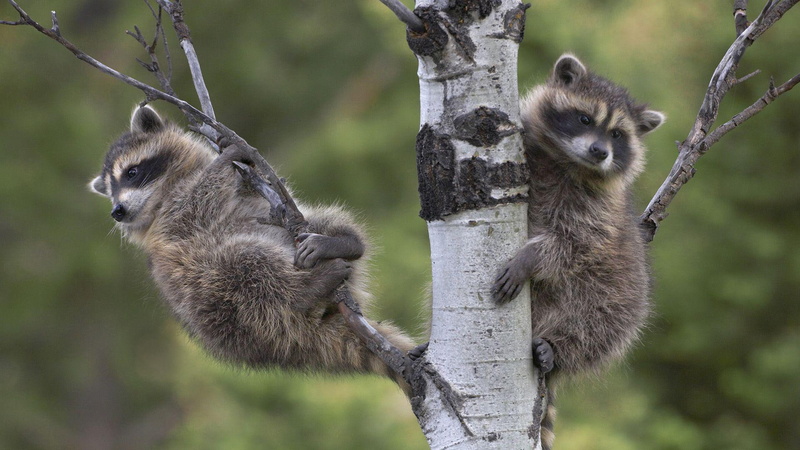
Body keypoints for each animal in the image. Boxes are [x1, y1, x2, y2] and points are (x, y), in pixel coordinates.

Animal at [90, 105, 416, 390]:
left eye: (131, 173)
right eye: (110, 191)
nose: (117, 211)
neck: (165, 191)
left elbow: (263, 188)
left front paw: (233, 154)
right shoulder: (169, 226)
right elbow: (195, 206)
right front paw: (222, 162)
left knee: (318, 220)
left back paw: (342, 241)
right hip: (221, 307)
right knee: (245, 267)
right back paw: (303, 290)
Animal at [492, 54, 664, 448]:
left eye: (617, 135)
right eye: (585, 119)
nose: (600, 152)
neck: (569, 162)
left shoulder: (598, 211)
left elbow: (574, 244)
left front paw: (531, 258)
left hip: (620, 293)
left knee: (602, 323)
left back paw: (558, 350)